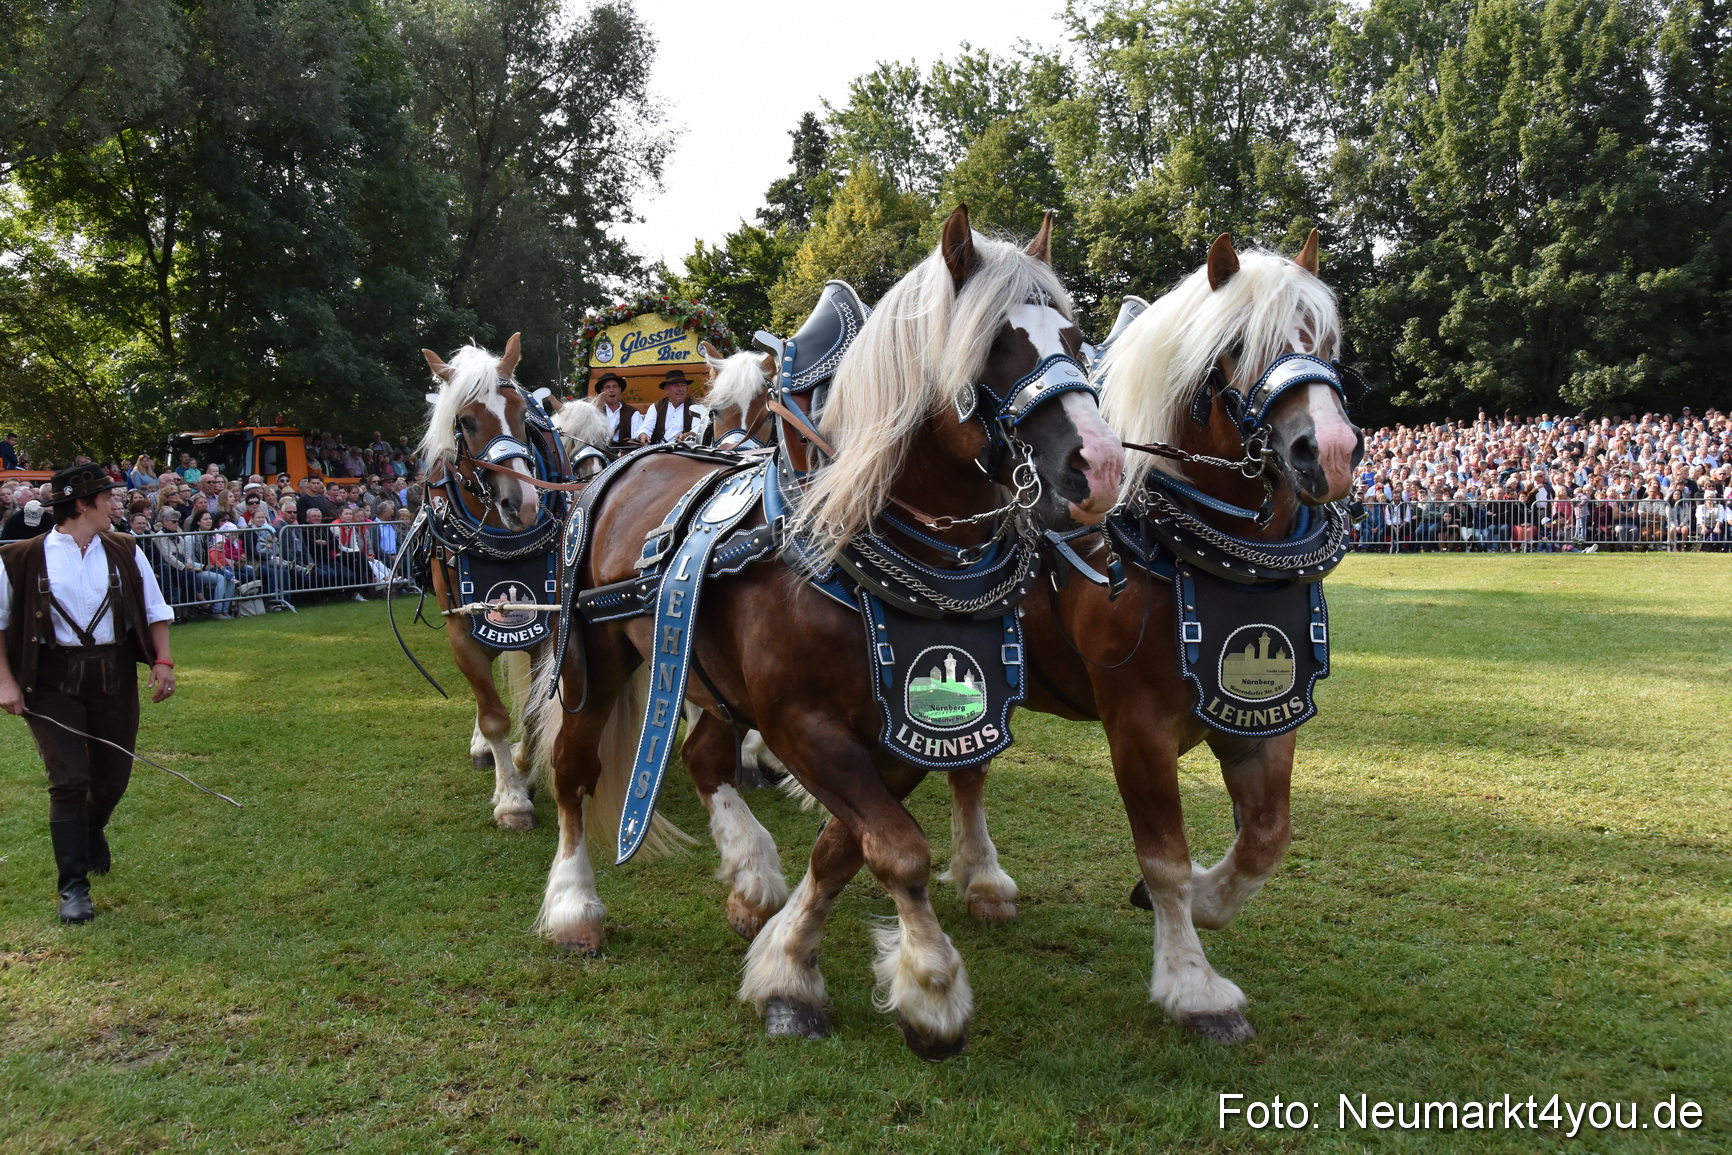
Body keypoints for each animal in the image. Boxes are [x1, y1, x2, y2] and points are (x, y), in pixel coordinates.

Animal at [527, 207, 1125, 1058]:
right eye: (993, 343)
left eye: (1073, 339)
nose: (1100, 466)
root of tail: (616, 466)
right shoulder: (800, 720)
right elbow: (898, 849)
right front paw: (930, 985)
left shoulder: (901, 732)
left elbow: (849, 847)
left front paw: (787, 961)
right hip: (595, 661)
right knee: (575, 770)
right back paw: (577, 905)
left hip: (711, 677)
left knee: (703, 755)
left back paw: (750, 878)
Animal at [938, 232, 1364, 1044]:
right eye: (1238, 345)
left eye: (1327, 342)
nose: (1326, 451)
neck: (1182, 551)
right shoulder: (1135, 725)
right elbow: (1163, 852)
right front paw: (1194, 985)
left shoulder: (1262, 717)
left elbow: (1266, 837)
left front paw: (1205, 898)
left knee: (969, 773)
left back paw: (981, 879)